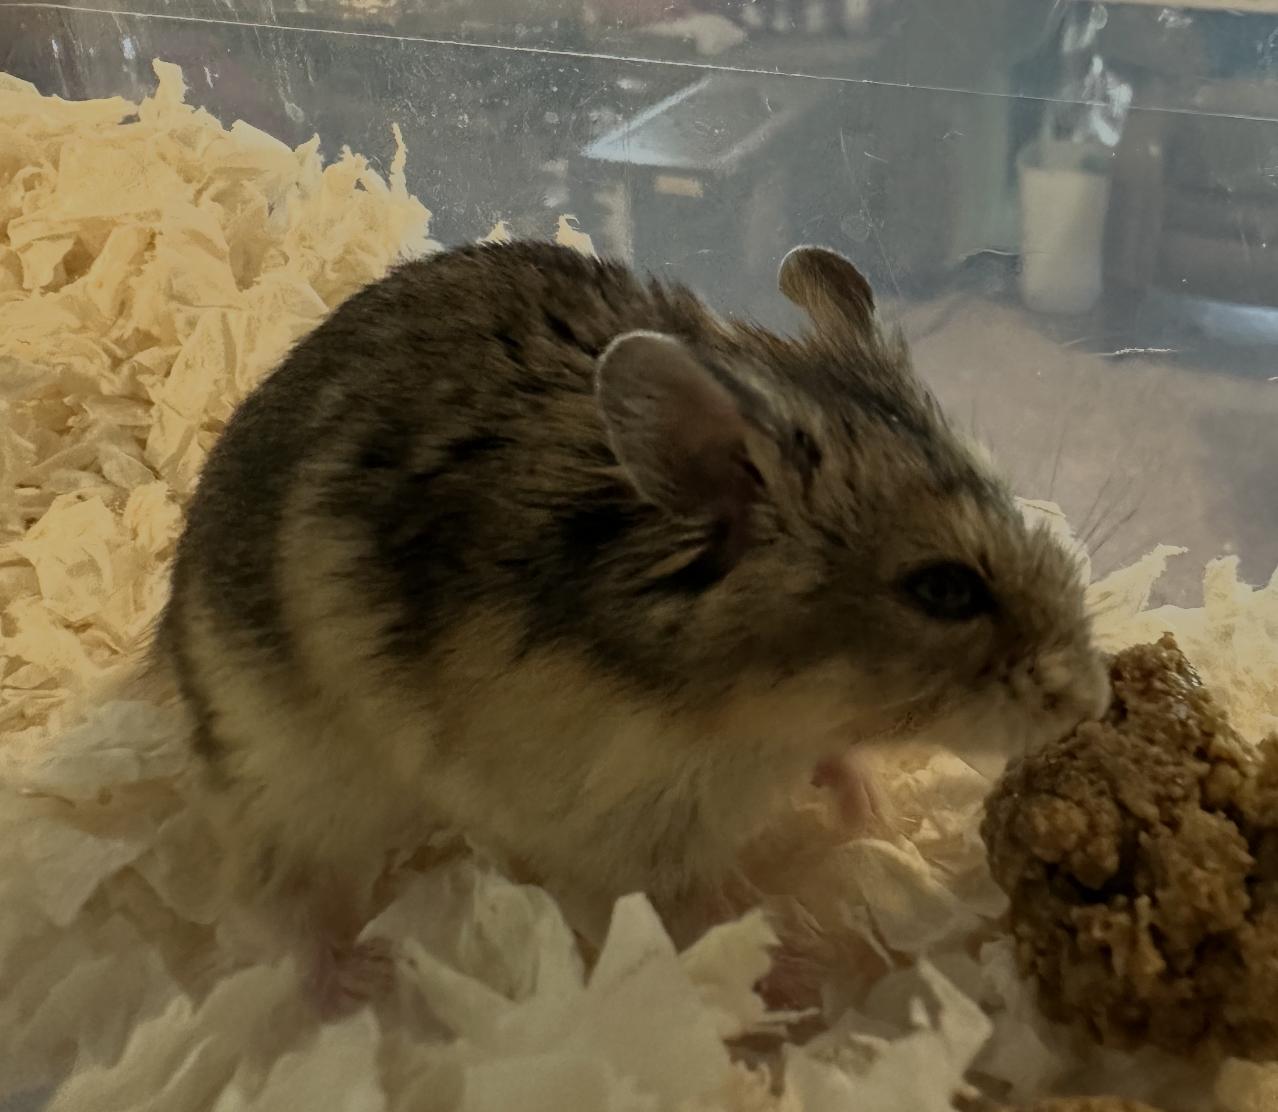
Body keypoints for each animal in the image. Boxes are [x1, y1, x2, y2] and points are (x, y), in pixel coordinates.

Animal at [156, 240, 1108, 1003]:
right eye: (944, 589)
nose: (1092, 699)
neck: (750, 711)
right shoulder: (605, 838)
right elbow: (689, 918)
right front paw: (795, 962)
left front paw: (868, 815)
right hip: (284, 779)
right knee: (267, 899)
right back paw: (358, 982)